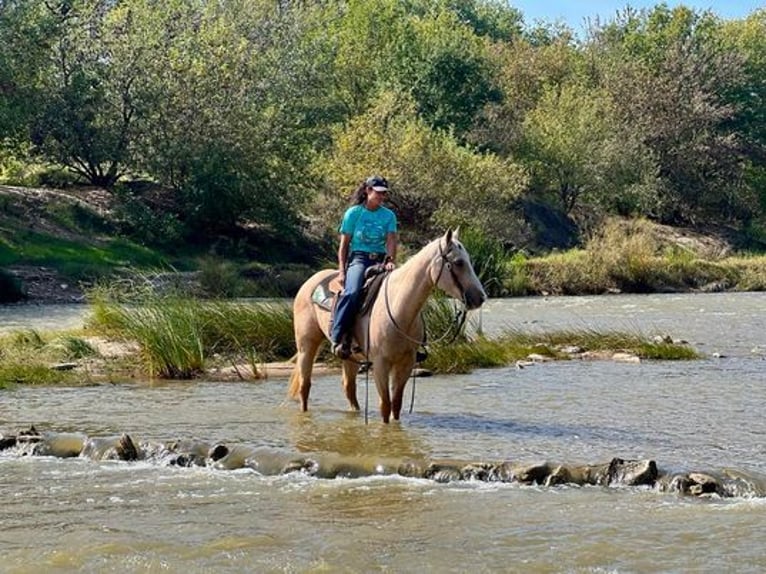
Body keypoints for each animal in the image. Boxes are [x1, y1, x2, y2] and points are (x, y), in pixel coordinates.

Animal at [288, 230, 486, 424]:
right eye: (459, 262)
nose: (480, 297)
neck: (398, 307)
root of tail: (310, 281)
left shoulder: (406, 363)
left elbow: (396, 404)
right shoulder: (380, 363)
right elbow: (385, 405)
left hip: (349, 356)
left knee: (349, 389)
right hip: (307, 345)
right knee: (305, 386)